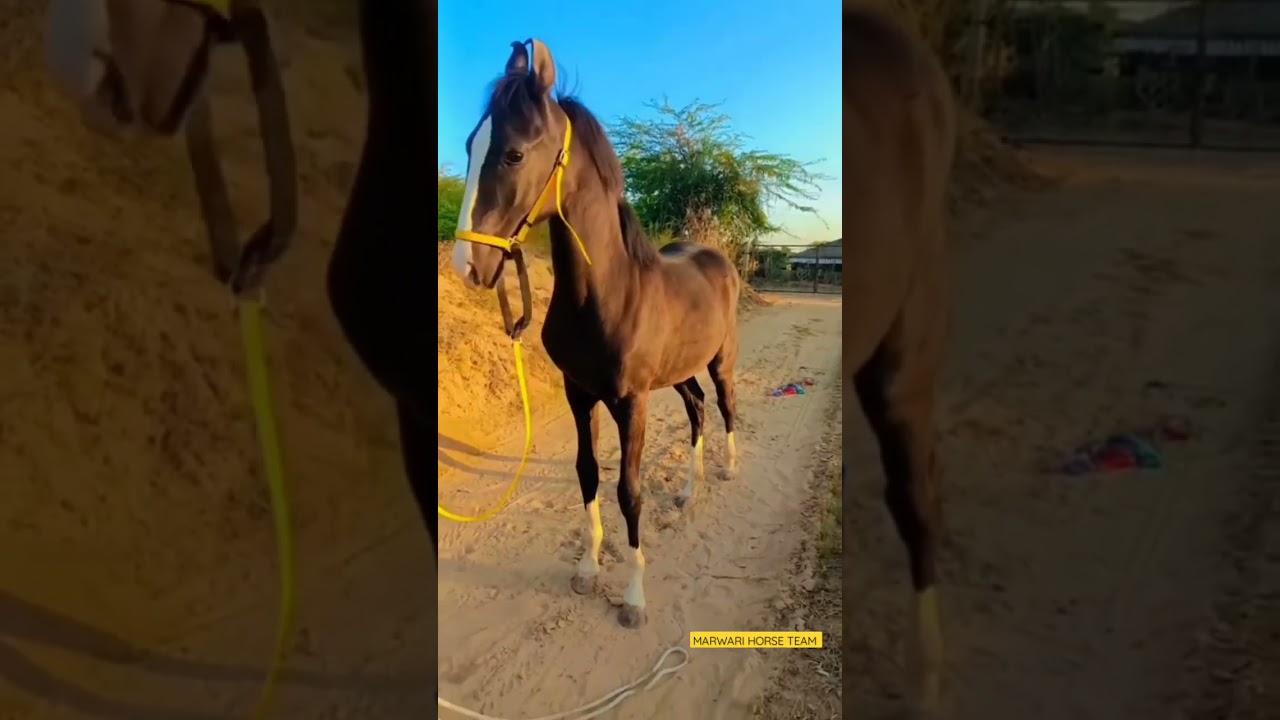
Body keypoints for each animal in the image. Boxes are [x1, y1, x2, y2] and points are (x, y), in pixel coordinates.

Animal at [448, 39, 742, 629]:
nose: (467, 265)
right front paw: (587, 569)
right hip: (678, 375)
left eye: (513, 154)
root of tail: (717, 258)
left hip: (718, 362)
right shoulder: (580, 395)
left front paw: (633, 599)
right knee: (697, 410)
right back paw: (688, 493)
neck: (608, 293)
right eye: (469, 145)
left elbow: (629, 491)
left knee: (723, 406)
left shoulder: (631, 403)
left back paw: (727, 469)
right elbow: (587, 474)